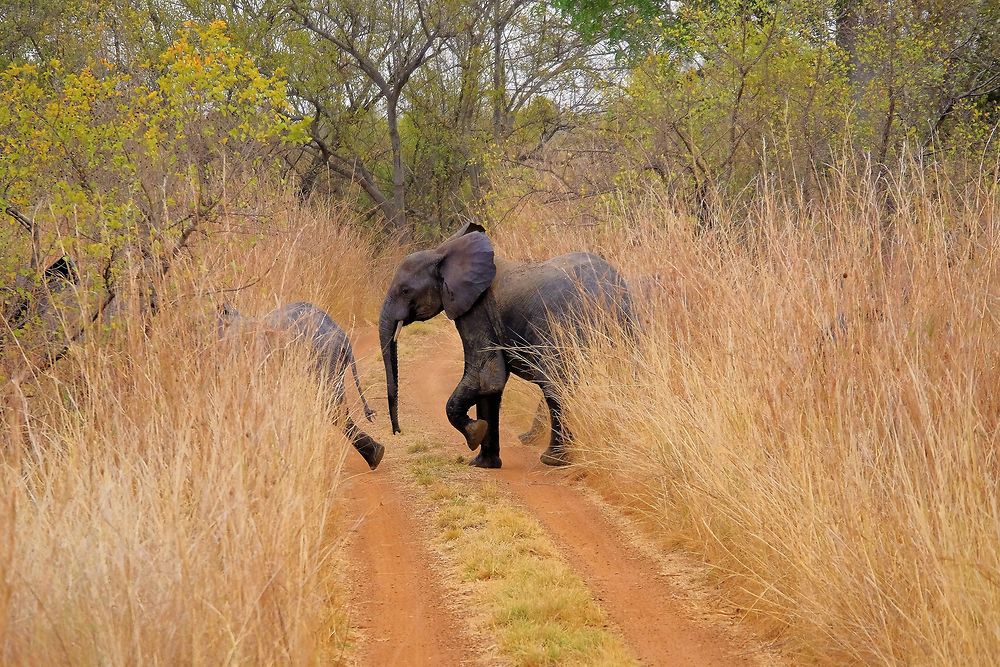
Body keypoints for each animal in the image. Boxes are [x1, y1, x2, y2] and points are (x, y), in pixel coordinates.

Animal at [378, 224, 636, 470]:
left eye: (405, 290)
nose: (397, 431)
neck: (443, 252)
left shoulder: (477, 311)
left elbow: (485, 377)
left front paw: (474, 434)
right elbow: (490, 386)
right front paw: (484, 464)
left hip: (566, 326)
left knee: (554, 385)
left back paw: (553, 460)